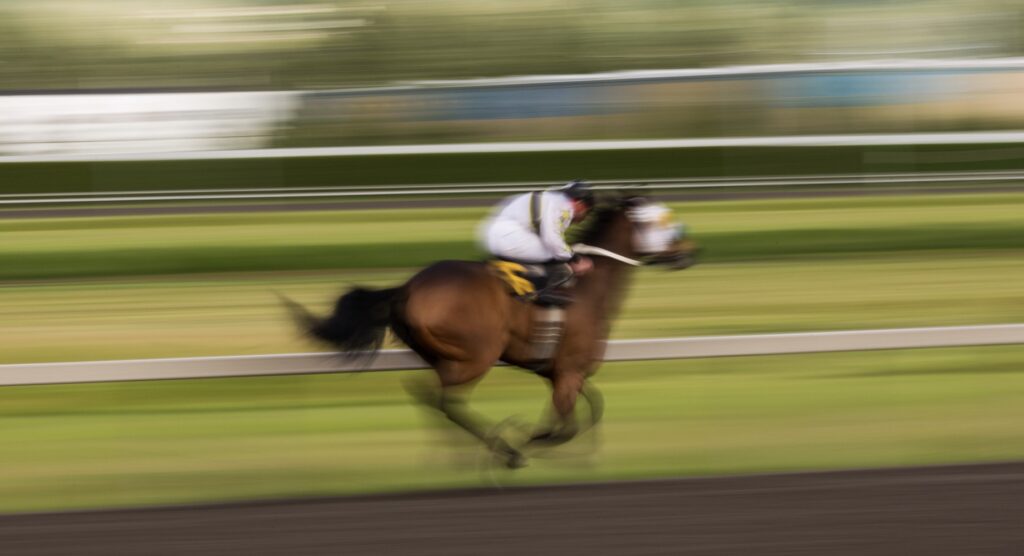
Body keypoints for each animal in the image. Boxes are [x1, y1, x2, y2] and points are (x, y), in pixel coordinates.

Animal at [284, 193, 696, 466]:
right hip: (476, 355)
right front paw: (525, 440)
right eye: (664, 221)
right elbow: (563, 428)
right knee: (446, 402)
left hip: (442, 356)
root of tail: (408, 288)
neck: (588, 290)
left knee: (428, 396)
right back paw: (504, 451)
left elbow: (590, 409)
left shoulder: (563, 372)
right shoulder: (568, 371)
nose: (690, 252)